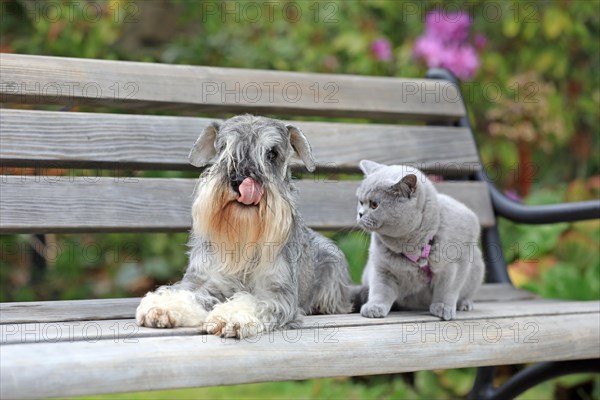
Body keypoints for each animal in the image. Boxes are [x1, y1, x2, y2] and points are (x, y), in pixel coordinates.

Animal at [136, 115, 352, 338]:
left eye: (272, 153)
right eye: (224, 147)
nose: (240, 180)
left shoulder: (277, 293)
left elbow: (253, 301)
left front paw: (228, 316)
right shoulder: (206, 279)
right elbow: (187, 292)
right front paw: (163, 306)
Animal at [356, 161, 482, 320]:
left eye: (374, 204)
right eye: (361, 202)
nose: (360, 214)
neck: (413, 246)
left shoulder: (456, 264)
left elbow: (447, 289)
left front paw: (443, 307)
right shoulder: (382, 268)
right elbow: (380, 290)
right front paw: (374, 307)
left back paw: (464, 304)